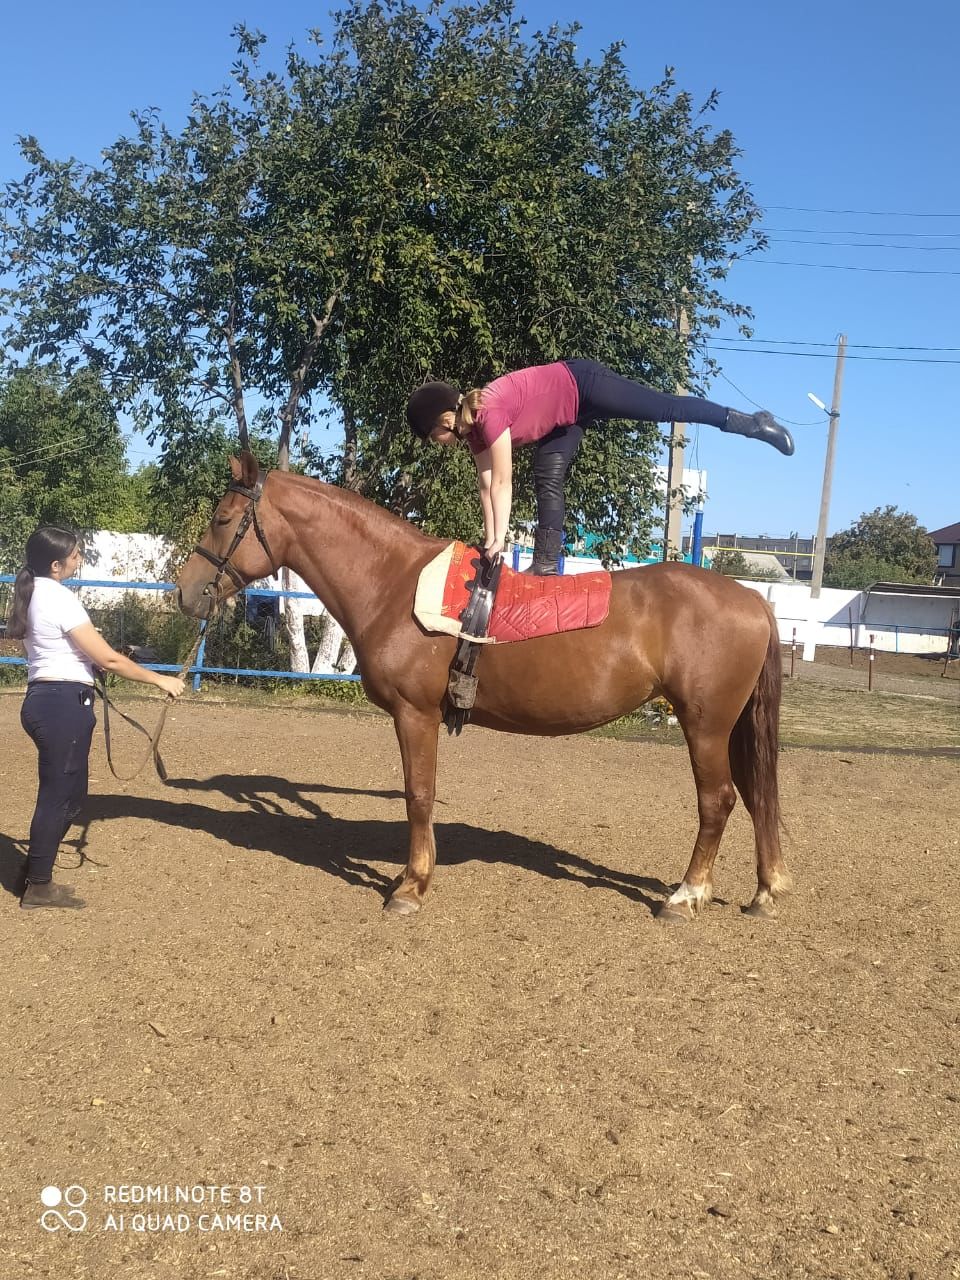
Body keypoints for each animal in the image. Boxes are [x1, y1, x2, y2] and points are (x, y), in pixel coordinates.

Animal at [176, 455, 793, 926]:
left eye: (223, 517)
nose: (185, 591)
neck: (395, 582)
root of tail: (751, 599)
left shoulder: (414, 714)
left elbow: (418, 795)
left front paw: (411, 886)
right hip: (727, 727)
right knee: (755, 795)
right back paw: (764, 892)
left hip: (705, 724)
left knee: (718, 801)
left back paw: (685, 897)